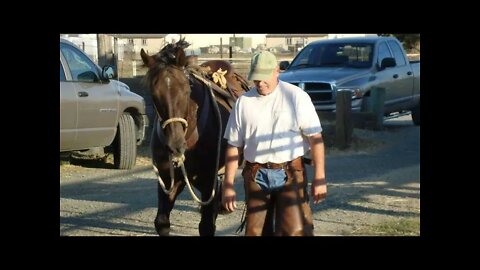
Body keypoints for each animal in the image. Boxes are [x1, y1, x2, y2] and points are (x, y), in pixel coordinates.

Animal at [141, 39, 249, 235]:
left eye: (186, 90)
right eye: (154, 94)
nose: (175, 145)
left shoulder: (207, 183)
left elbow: (206, 226)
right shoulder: (167, 180)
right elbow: (162, 222)